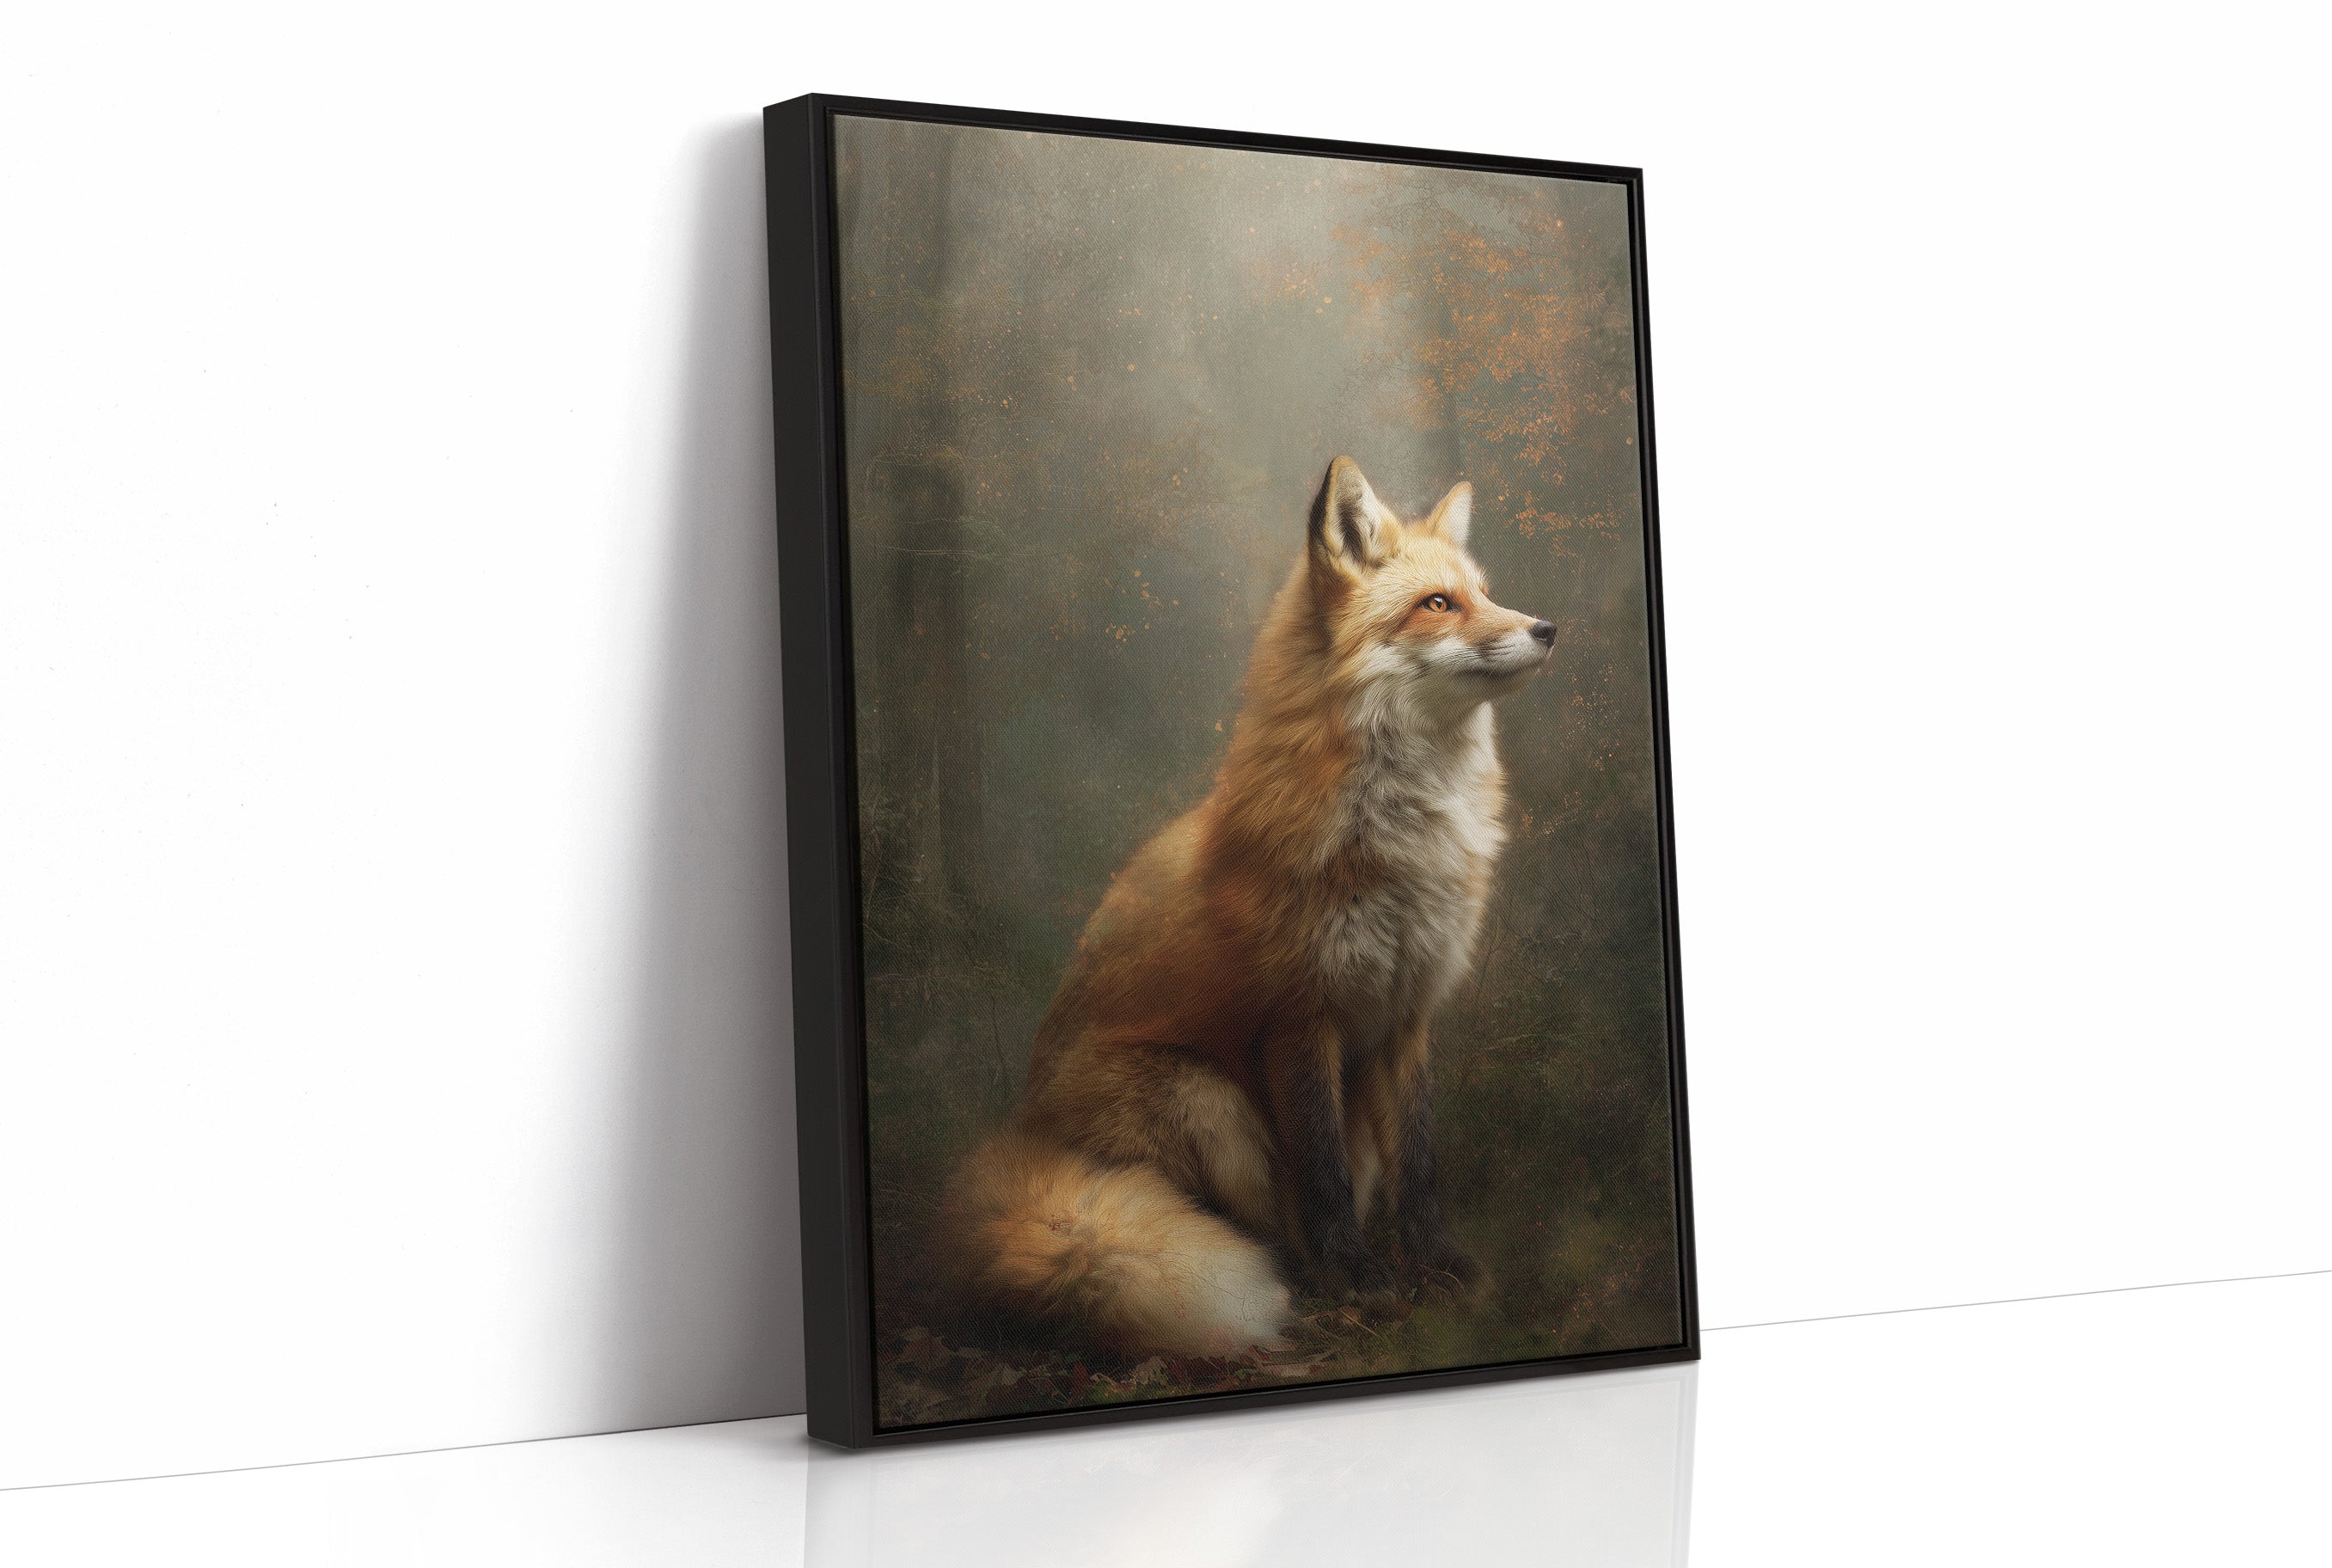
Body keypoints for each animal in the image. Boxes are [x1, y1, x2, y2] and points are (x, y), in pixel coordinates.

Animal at [934, 456, 1557, 1357]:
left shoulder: (1406, 1013)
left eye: (1483, 591)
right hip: (1202, 1096)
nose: (1547, 628)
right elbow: (1323, 1174)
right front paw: (1357, 1278)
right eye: (1438, 604)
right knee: (1252, 1224)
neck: (1398, 840)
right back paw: (1291, 1286)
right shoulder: (1300, 1016)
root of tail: (1024, 1135)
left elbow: (1420, 1166)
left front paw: (1439, 1269)